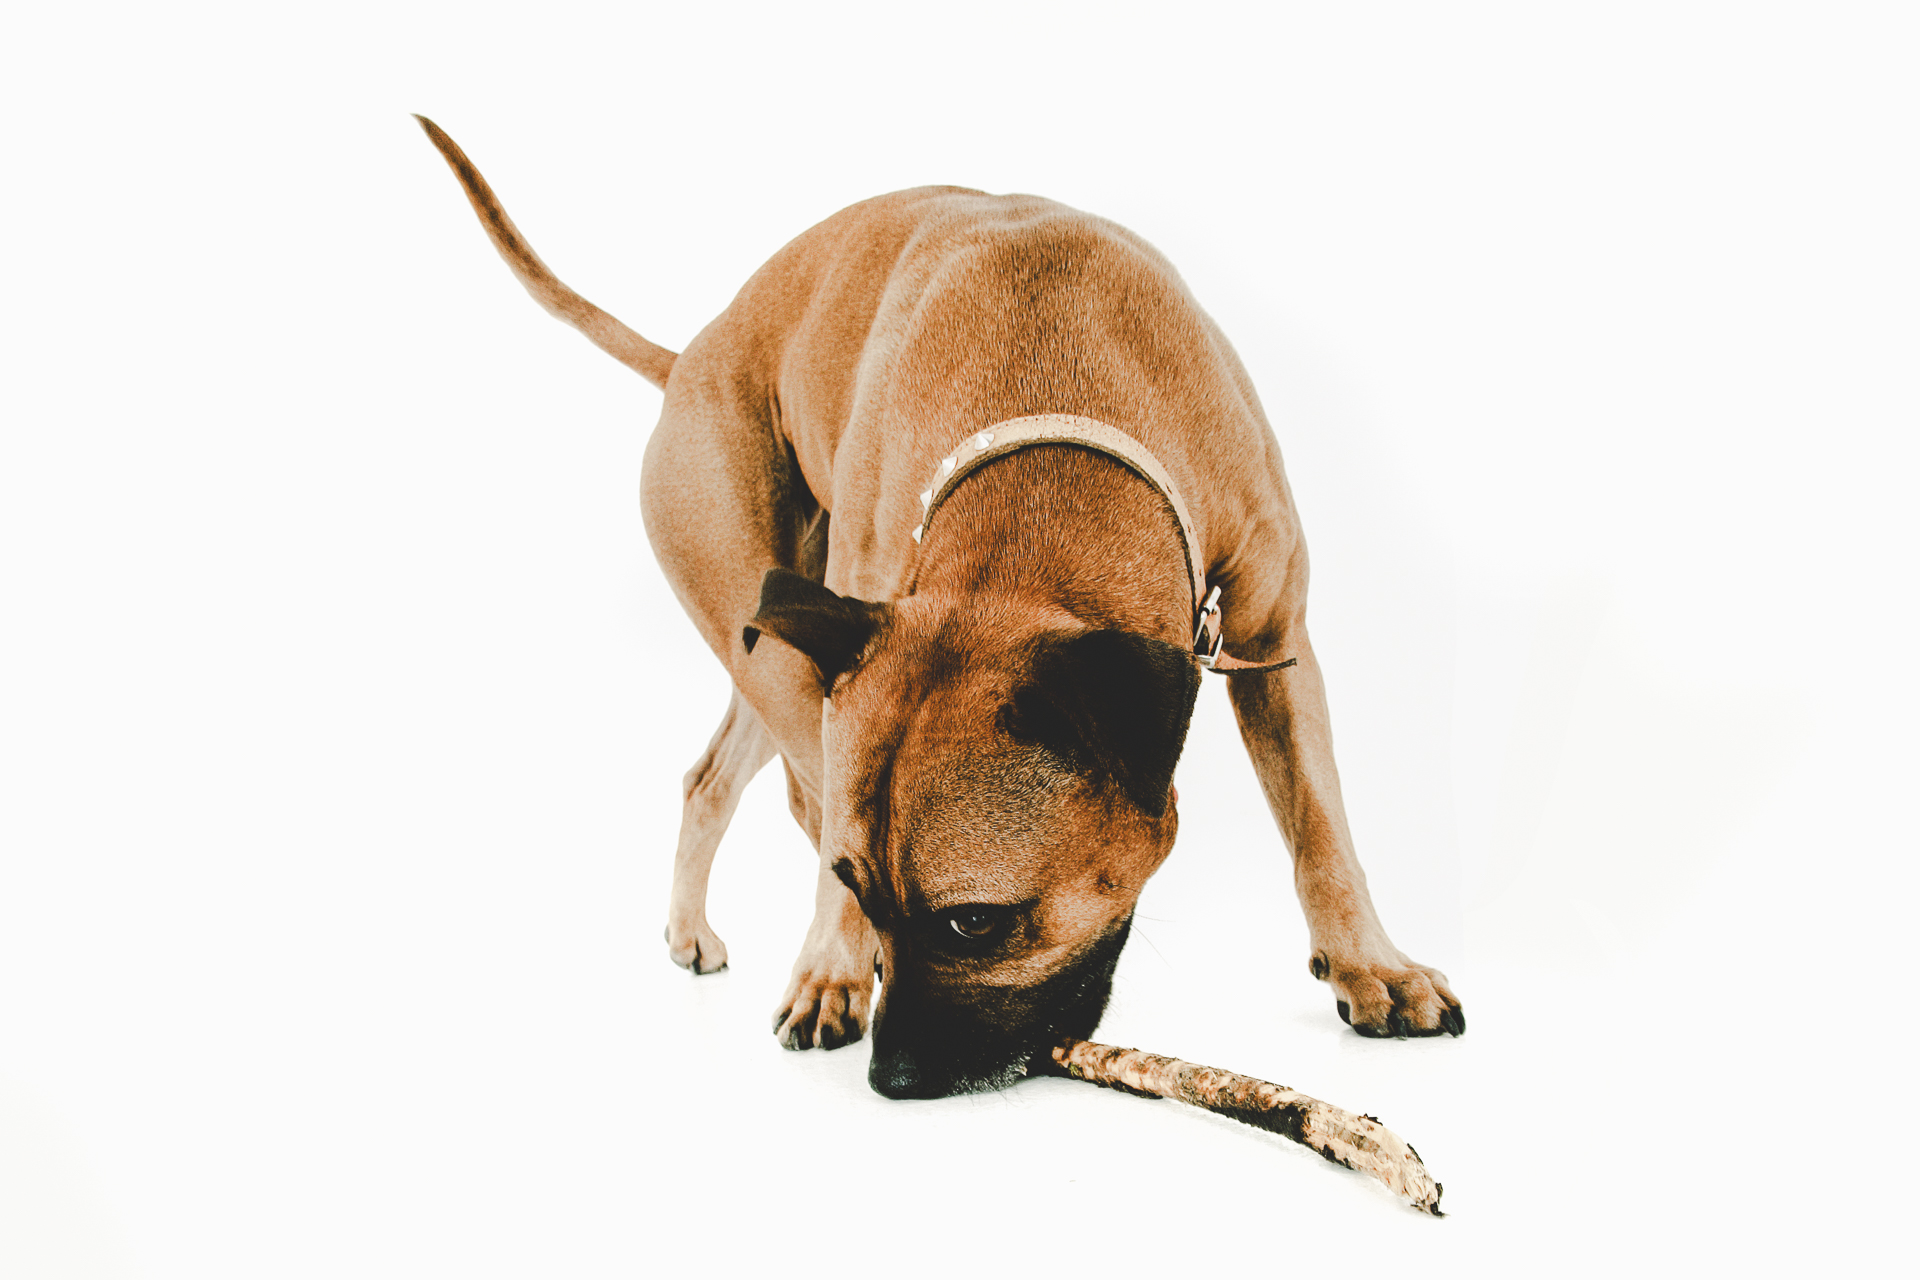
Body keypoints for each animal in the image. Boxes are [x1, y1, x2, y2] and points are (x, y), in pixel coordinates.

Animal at [417, 117, 1463, 1099]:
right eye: (865, 888)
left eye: (974, 923)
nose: (892, 1078)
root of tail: (687, 362)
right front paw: (842, 959)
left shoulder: (1273, 643)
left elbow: (1320, 826)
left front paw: (1371, 965)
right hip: (778, 645)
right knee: (800, 789)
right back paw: (818, 960)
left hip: (784, 637)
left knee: (712, 776)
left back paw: (693, 929)